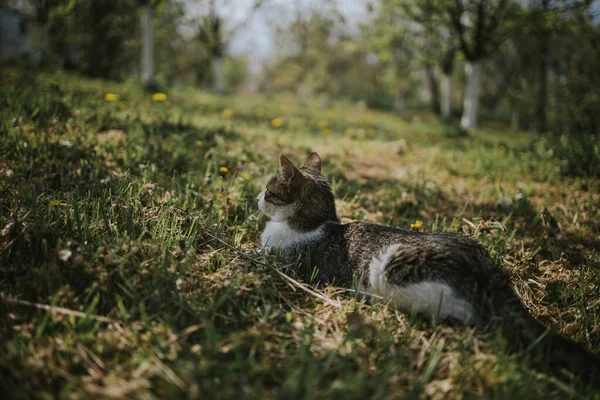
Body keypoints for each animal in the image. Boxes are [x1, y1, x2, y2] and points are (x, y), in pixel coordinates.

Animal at [256, 152, 600, 382]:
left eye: (269, 190)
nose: (256, 196)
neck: (312, 224)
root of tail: (486, 266)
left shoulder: (284, 261)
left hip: (394, 271)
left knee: (473, 318)